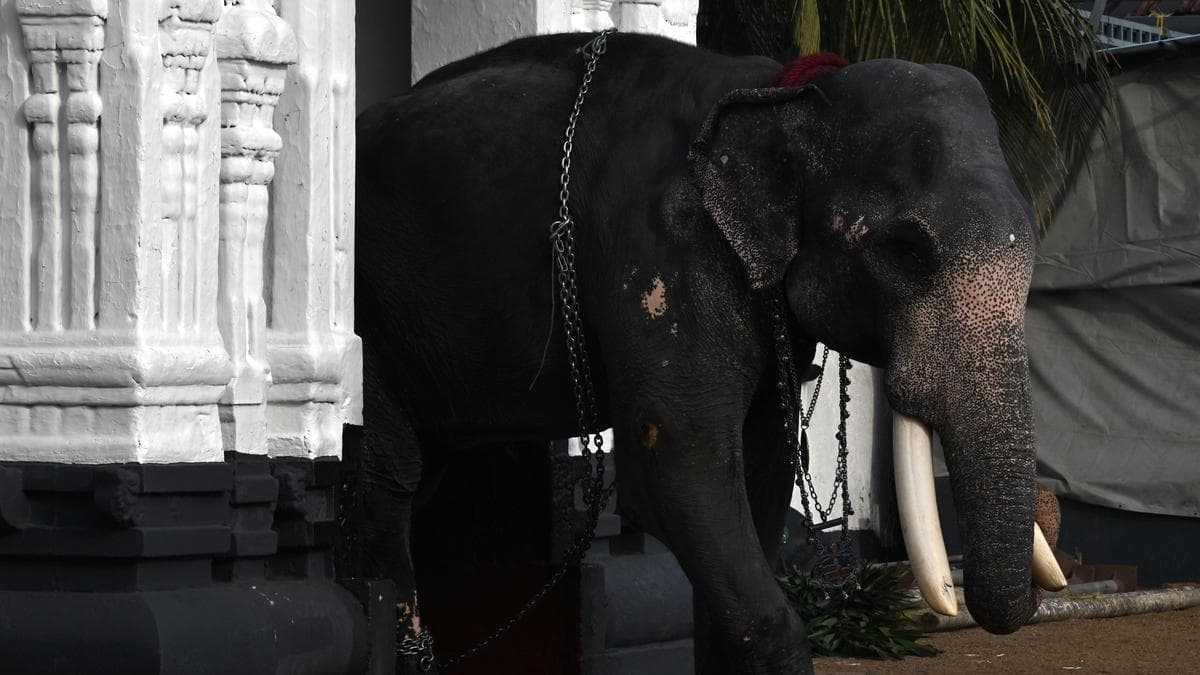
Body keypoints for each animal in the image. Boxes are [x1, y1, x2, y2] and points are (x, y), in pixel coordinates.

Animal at [353, 32, 1057, 674]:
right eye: (905, 250)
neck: (777, 92)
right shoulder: (663, 250)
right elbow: (677, 462)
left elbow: (762, 462)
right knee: (387, 480)